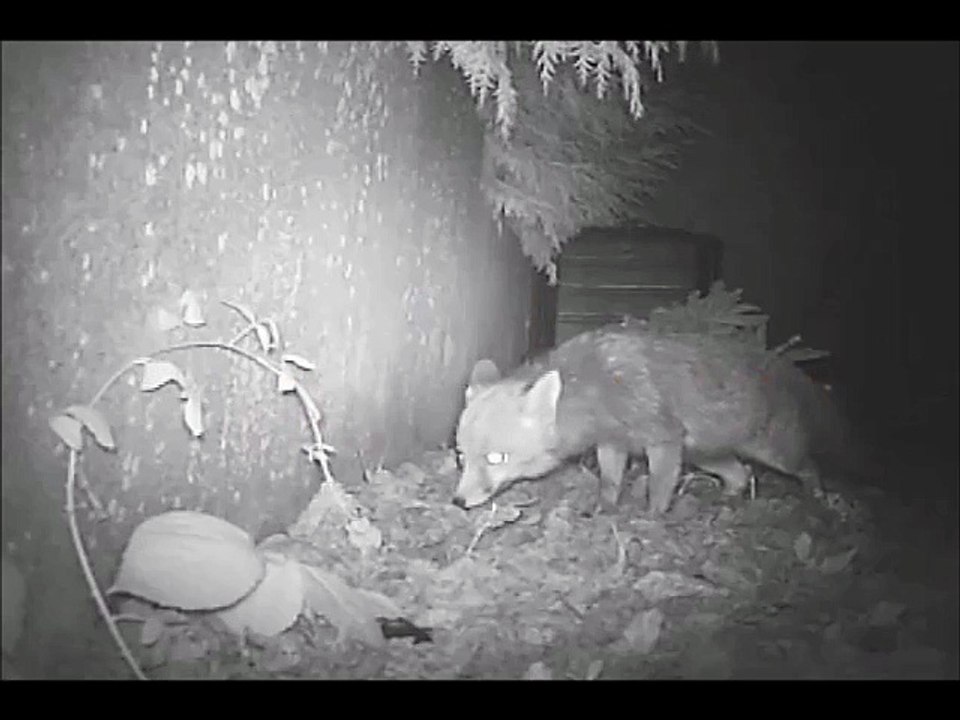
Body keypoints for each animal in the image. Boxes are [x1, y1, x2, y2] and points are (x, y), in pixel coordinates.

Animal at [453, 325, 864, 515]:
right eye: (461, 457)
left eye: (496, 459)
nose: (457, 501)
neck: (600, 386)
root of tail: (782, 366)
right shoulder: (612, 443)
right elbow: (610, 483)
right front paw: (605, 510)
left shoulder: (662, 439)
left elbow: (659, 487)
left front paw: (652, 519)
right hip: (705, 455)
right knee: (740, 475)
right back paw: (727, 501)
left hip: (776, 455)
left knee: (809, 468)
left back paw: (819, 499)